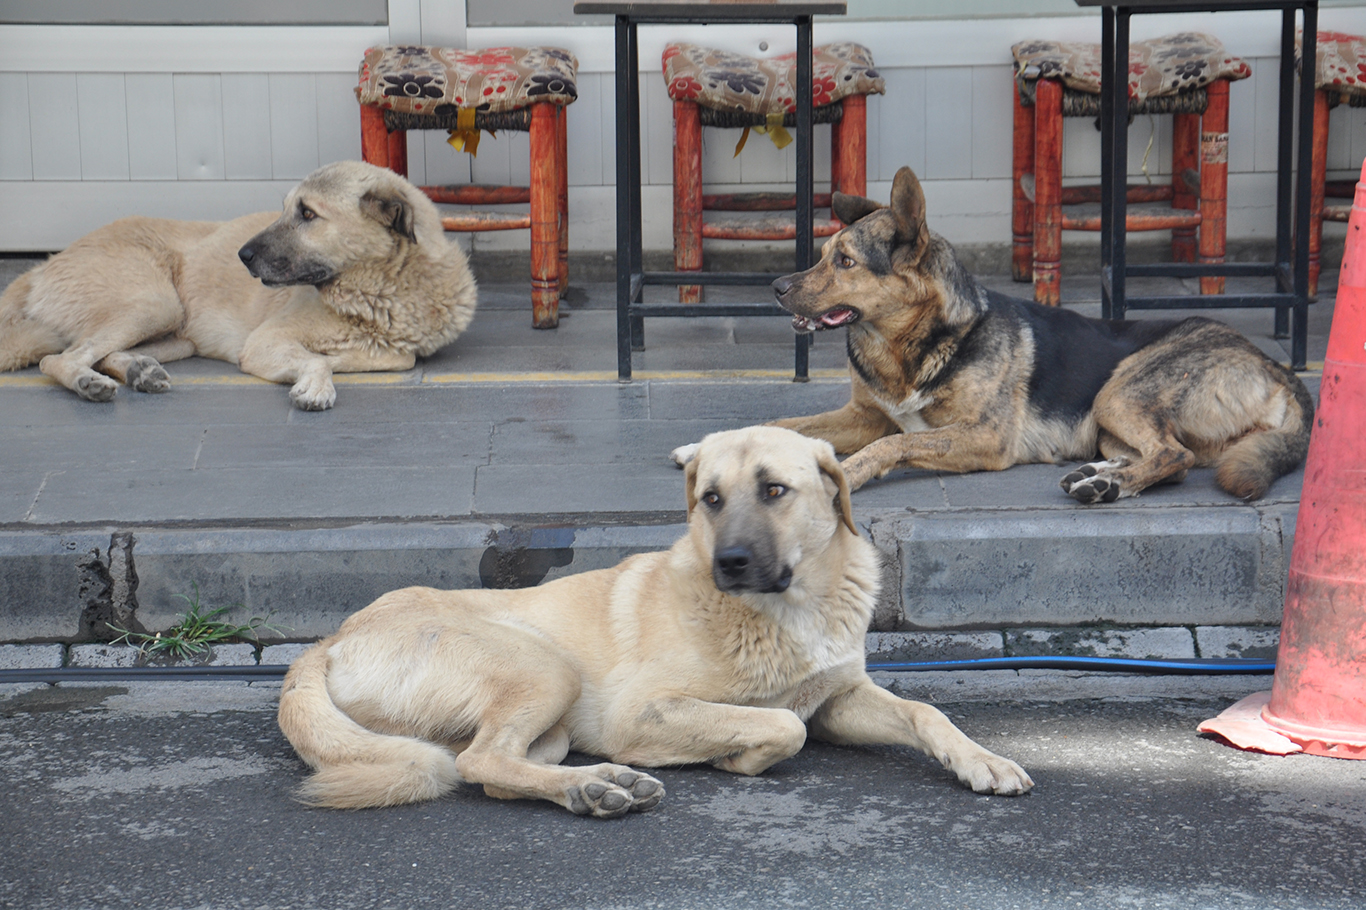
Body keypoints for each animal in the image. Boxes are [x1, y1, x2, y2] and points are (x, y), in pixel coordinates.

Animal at [0, 159, 478, 407]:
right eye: (286, 209)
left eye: (308, 214)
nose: (242, 256)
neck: (384, 289)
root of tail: (42, 265)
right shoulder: (265, 341)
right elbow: (320, 359)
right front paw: (317, 379)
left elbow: (399, 357)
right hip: (153, 303)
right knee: (59, 358)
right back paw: (88, 383)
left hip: (176, 335)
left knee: (99, 353)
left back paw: (138, 370)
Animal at [280, 426, 1032, 814]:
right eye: (710, 498)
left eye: (775, 491)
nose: (729, 561)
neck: (790, 608)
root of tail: (328, 641)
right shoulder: (641, 710)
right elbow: (780, 724)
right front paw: (739, 756)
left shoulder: (841, 698)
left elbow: (926, 712)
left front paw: (983, 760)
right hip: (543, 667)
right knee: (477, 761)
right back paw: (595, 786)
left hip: (550, 721)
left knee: (491, 769)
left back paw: (599, 783)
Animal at [754, 164, 1316, 502]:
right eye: (824, 256)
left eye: (845, 262)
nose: (776, 287)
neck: (913, 346)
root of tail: (1275, 366)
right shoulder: (865, 416)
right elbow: (781, 424)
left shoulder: (984, 437)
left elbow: (889, 445)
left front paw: (843, 477)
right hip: (1109, 422)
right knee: (1172, 459)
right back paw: (1101, 476)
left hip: (1119, 390)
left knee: (1175, 455)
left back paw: (1110, 485)